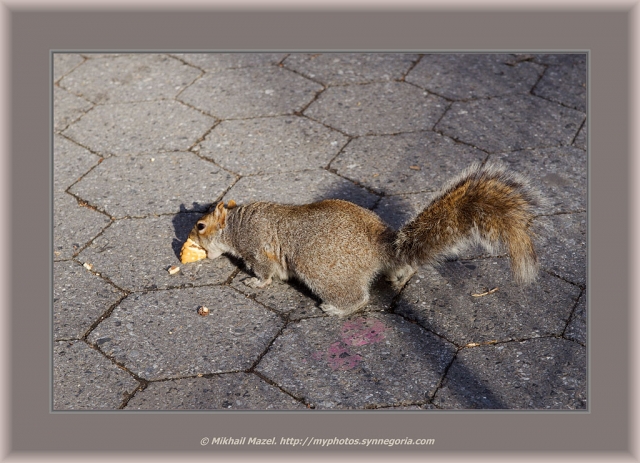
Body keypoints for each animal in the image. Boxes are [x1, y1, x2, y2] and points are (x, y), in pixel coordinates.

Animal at [184, 161, 540, 318]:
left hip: (321, 269)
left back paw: (335, 308)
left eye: (200, 226)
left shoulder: (258, 248)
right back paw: (400, 275)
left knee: (358, 298)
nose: (186, 242)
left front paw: (255, 283)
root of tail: (381, 245)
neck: (236, 224)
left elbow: (265, 272)